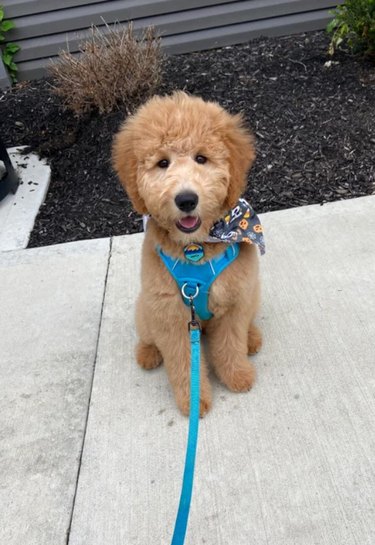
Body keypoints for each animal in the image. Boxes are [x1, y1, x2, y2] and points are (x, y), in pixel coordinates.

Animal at [113, 92, 262, 416]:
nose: (186, 200)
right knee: (147, 335)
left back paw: (252, 338)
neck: (196, 248)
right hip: (147, 308)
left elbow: (231, 343)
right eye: (162, 163)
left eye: (201, 158)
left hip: (252, 293)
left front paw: (237, 375)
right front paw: (193, 400)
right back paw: (147, 353)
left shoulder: (235, 301)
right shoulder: (171, 315)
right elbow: (184, 362)